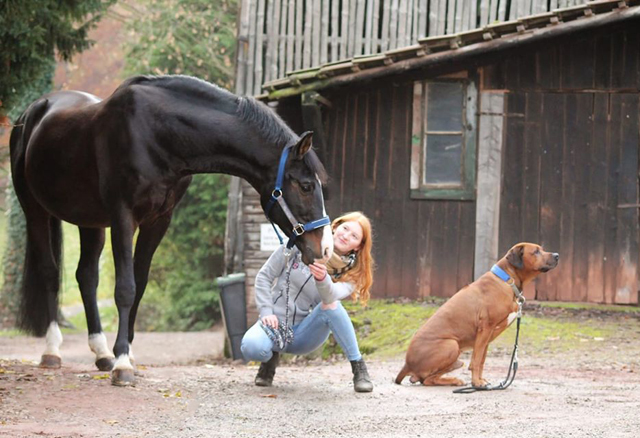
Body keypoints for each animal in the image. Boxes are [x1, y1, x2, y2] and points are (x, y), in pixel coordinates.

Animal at [10, 74, 332, 384]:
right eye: (306, 186)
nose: (325, 248)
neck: (156, 134)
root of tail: (34, 111)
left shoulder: (158, 221)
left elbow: (139, 284)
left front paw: (125, 354)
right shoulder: (123, 217)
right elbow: (125, 288)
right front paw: (122, 364)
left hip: (90, 221)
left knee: (86, 277)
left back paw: (101, 353)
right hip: (34, 210)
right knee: (50, 273)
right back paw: (52, 351)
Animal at [398, 243, 556, 386]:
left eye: (541, 249)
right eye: (536, 251)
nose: (557, 255)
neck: (507, 280)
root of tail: (407, 364)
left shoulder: (487, 336)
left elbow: (481, 360)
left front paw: (480, 380)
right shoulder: (485, 328)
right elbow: (476, 360)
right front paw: (476, 383)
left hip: (457, 359)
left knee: (425, 378)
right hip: (452, 345)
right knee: (426, 380)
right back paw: (453, 381)